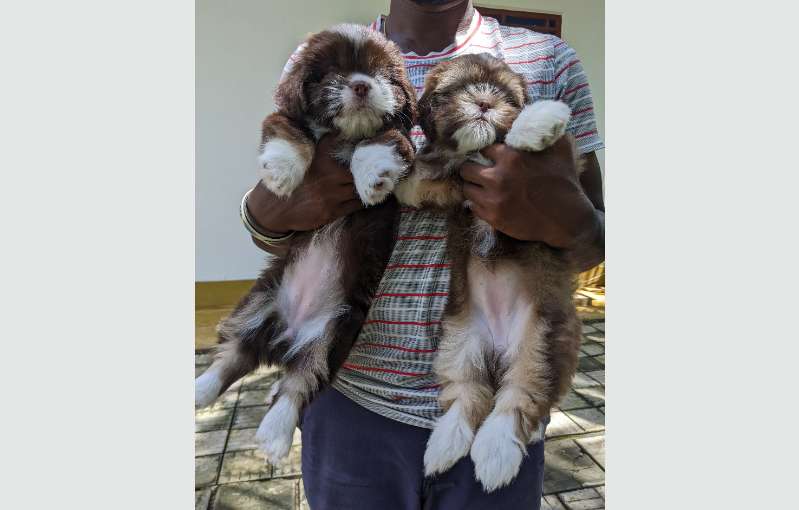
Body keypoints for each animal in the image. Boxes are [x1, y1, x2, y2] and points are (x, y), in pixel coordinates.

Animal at [196, 22, 416, 462]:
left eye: (380, 73)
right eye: (332, 73)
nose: (362, 84)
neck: (343, 133)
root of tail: (286, 337)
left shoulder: (401, 138)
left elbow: (377, 142)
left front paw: (371, 178)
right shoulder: (282, 116)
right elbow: (288, 130)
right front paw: (282, 172)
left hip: (334, 334)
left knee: (297, 384)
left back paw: (274, 434)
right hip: (256, 302)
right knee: (232, 355)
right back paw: (200, 391)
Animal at [398, 53, 580, 492]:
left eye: (506, 96)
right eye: (458, 89)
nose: (483, 103)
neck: (473, 154)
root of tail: (500, 345)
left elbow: (512, 140)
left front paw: (537, 121)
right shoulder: (444, 183)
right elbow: (418, 175)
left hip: (543, 341)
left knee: (519, 397)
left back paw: (497, 452)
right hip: (458, 341)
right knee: (469, 394)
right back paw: (447, 443)